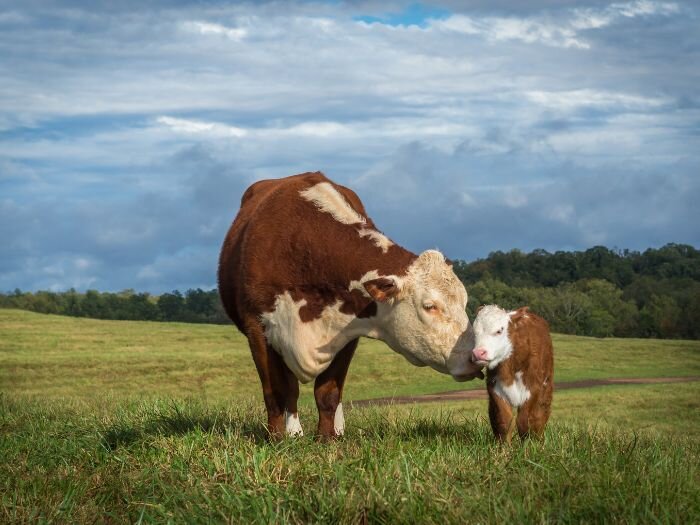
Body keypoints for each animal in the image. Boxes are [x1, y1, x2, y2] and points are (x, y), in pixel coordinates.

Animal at [218, 171, 483, 439]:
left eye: (464, 302)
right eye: (430, 306)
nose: (474, 357)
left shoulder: (346, 332)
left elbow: (328, 393)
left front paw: (326, 439)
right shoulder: (257, 329)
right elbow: (277, 391)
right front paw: (277, 439)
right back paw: (294, 432)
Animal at [471, 305, 554, 442]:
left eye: (499, 331)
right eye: (474, 332)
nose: (478, 353)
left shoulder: (533, 389)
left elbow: (525, 421)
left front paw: (529, 445)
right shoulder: (495, 388)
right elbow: (504, 421)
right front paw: (504, 447)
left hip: (546, 387)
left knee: (540, 415)